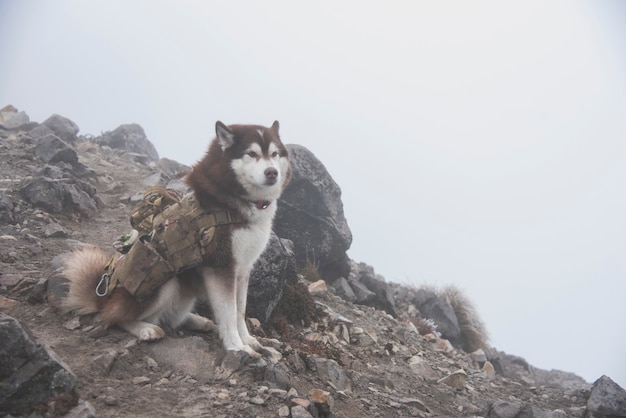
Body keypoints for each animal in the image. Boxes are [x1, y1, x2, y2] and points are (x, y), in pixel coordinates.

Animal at [59, 121, 292, 356]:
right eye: (251, 153)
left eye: (274, 154)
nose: (272, 173)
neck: (234, 202)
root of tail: (103, 298)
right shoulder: (221, 266)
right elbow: (228, 313)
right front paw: (236, 346)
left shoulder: (242, 269)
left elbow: (239, 311)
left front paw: (250, 340)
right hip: (165, 283)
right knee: (115, 317)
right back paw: (145, 329)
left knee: (170, 317)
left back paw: (197, 320)